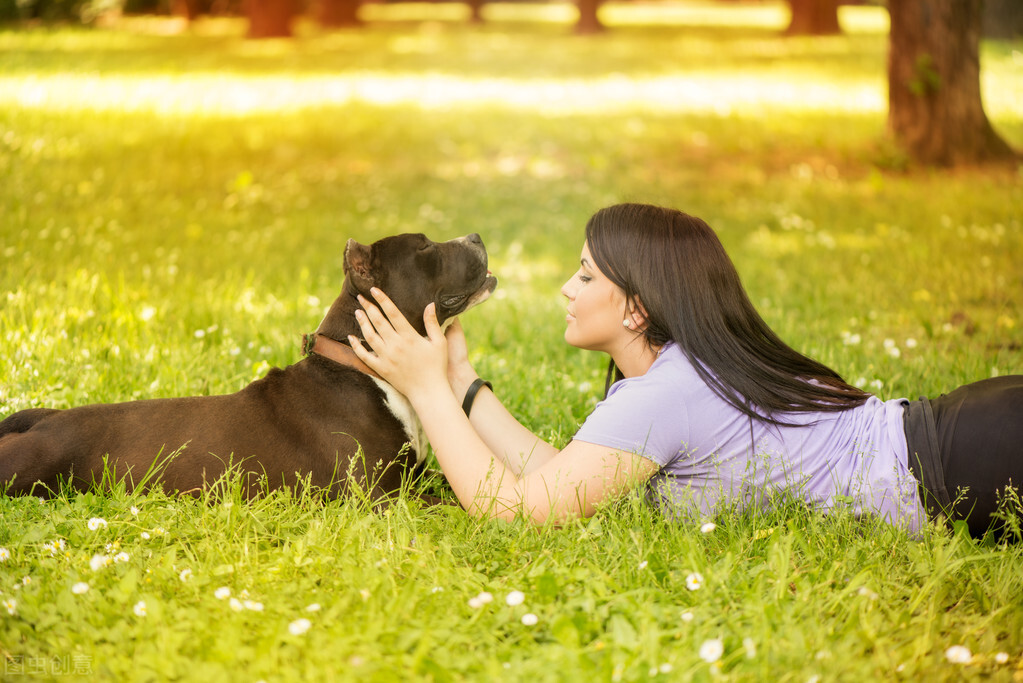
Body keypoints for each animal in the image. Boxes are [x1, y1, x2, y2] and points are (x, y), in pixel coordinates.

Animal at [0, 235, 495, 501]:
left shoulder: (416, 479)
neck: (365, 368)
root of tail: (44, 421)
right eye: (426, 247)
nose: (475, 238)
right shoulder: (381, 499)